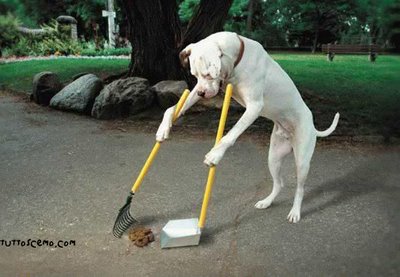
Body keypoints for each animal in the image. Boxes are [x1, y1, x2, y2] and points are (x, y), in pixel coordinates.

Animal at [155, 31, 338, 222]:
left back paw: (295, 211)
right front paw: (163, 128)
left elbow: (231, 134)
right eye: (195, 76)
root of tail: (312, 125)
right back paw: (266, 202)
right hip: (273, 158)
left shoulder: (254, 107)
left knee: (300, 188)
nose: (201, 92)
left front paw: (215, 155)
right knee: (279, 183)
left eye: (208, 74)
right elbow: (172, 109)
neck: (238, 59)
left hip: (302, 162)